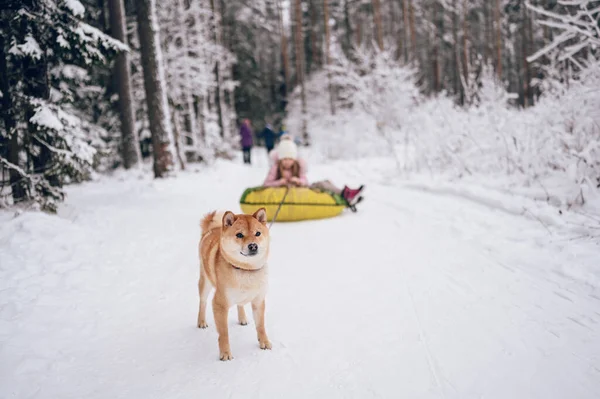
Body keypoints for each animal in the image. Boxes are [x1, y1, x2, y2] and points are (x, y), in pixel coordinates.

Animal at [197, 209, 272, 362]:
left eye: (258, 233)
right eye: (239, 235)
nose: (253, 246)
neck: (245, 269)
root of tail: (212, 229)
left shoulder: (258, 301)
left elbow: (261, 325)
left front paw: (264, 342)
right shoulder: (219, 304)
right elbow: (224, 333)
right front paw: (225, 353)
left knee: (240, 304)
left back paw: (242, 318)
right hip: (205, 282)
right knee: (202, 302)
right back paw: (201, 321)